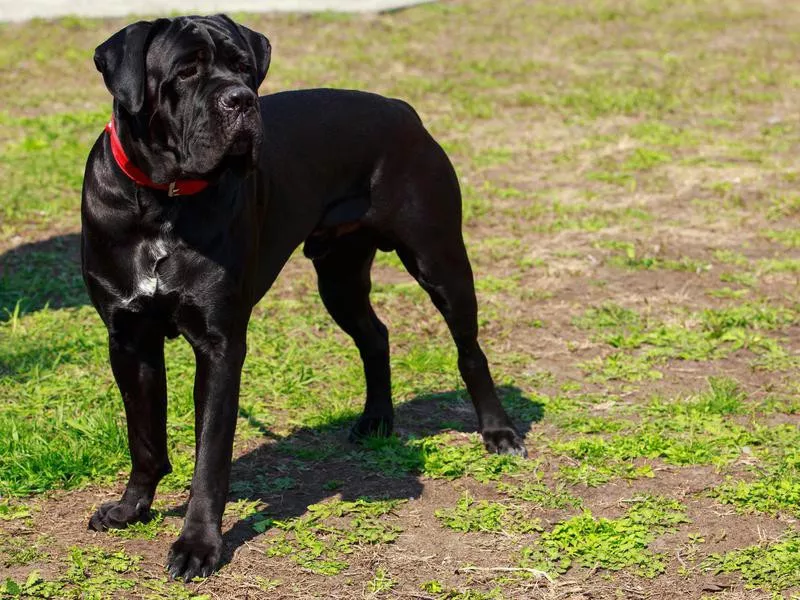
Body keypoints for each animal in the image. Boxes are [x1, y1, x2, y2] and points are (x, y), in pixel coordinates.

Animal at [83, 15, 524, 580]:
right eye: (184, 71)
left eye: (244, 67)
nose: (241, 99)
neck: (162, 201)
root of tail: (403, 108)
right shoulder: (128, 340)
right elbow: (144, 438)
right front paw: (131, 508)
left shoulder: (220, 346)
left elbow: (211, 457)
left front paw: (199, 545)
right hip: (339, 277)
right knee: (375, 336)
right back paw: (376, 420)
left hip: (439, 260)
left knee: (469, 350)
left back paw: (498, 431)